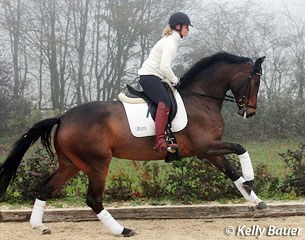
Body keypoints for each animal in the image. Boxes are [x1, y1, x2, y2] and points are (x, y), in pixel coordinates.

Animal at [0, 51, 264, 237]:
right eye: (255, 82)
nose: (250, 112)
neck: (201, 99)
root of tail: (63, 117)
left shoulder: (210, 150)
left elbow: (232, 173)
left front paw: (256, 200)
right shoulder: (204, 147)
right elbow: (241, 149)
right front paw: (251, 177)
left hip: (71, 165)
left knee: (45, 188)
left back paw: (39, 226)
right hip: (97, 163)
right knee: (93, 199)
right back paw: (122, 230)